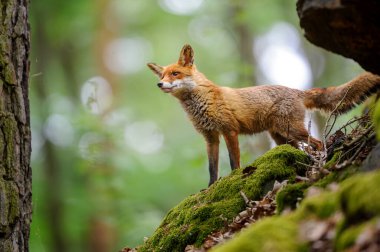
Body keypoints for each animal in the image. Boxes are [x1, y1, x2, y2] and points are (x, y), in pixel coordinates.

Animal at [148, 44, 380, 186]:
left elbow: (233, 161)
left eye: (175, 74)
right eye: (162, 76)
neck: (201, 102)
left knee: (318, 143)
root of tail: (298, 91)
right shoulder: (210, 138)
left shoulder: (229, 130)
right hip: (281, 137)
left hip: (293, 131)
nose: (159, 84)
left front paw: (234, 178)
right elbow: (212, 168)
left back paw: (322, 159)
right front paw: (210, 188)